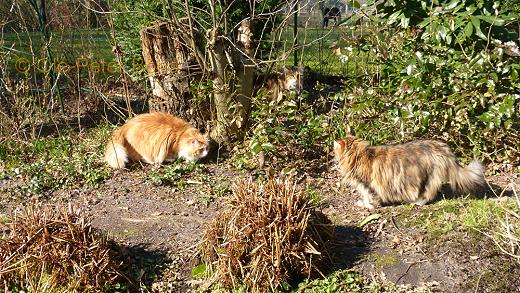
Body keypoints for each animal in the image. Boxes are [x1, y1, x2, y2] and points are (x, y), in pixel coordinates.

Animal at [336, 136, 486, 209]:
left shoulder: (366, 184)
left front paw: (367, 206)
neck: (359, 155)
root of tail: (442, 148)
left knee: (429, 193)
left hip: (428, 177)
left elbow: (369, 197)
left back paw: (418, 202)